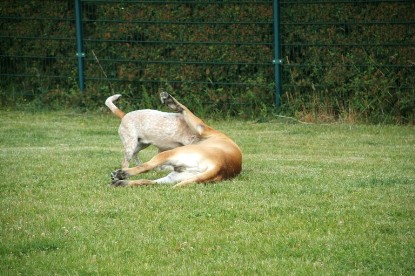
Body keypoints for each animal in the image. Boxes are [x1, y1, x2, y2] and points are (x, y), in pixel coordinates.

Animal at [112, 91, 244, 189]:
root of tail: (219, 165)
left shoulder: (200, 128)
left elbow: (184, 108)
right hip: (175, 172)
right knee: (147, 180)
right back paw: (121, 182)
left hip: (169, 154)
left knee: (145, 167)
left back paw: (121, 175)